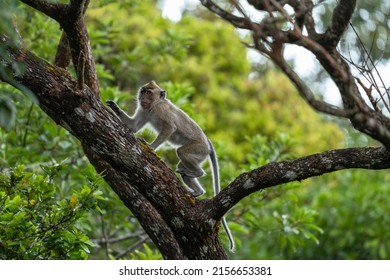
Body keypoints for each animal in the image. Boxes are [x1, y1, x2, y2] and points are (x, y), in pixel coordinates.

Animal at [106, 80, 235, 252]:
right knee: (184, 168)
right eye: (143, 91)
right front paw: (115, 107)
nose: (142, 97)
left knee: (182, 152)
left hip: (199, 148)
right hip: (200, 153)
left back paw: (198, 173)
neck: (155, 105)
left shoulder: (161, 111)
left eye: (149, 93)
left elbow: (169, 128)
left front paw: (151, 147)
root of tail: (208, 143)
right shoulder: (144, 110)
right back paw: (197, 191)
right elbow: (133, 126)